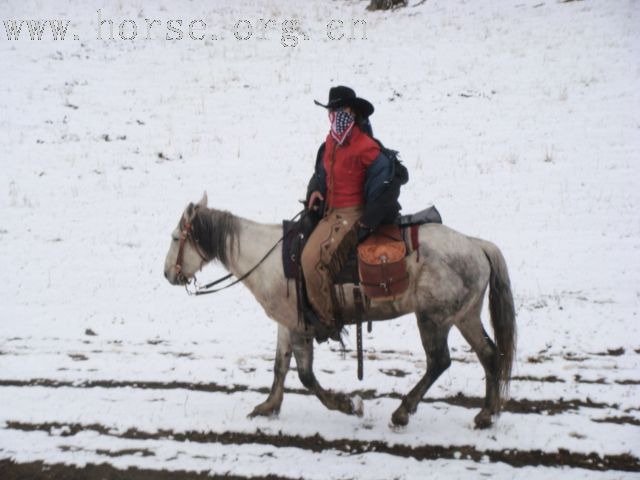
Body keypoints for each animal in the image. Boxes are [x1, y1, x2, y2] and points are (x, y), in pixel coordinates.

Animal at [164, 193, 516, 430]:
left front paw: (348, 405)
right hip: (465, 316)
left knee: (439, 361)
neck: (267, 258)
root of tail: (476, 245)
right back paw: (486, 414)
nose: (168, 273)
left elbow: (305, 376)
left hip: (433, 318)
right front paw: (268, 406)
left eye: (176, 237)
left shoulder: (300, 327)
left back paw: (402, 413)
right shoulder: (285, 323)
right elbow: (280, 367)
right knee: (489, 353)